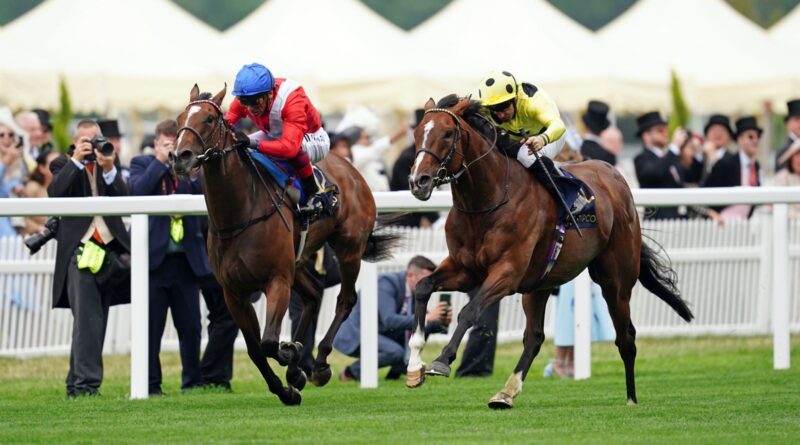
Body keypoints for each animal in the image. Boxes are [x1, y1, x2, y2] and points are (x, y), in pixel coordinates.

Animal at [170, 85, 396, 404]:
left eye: (210, 119)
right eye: (179, 119)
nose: (180, 156)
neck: (239, 214)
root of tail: (351, 169)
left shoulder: (276, 279)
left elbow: (268, 342)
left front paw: (292, 355)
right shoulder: (234, 292)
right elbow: (255, 349)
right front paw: (287, 386)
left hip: (349, 246)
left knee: (345, 299)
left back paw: (320, 363)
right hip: (298, 261)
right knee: (314, 294)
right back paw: (298, 367)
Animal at [410, 95, 692, 408]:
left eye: (448, 133)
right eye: (418, 132)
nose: (418, 181)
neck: (486, 202)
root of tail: (615, 175)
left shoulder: (507, 272)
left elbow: (469, 312)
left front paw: (441, 360)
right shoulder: (465, 270)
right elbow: (423, 287)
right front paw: (414, 365)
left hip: (615, 281)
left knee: (626, 337)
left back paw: (631, 399)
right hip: (539, 284)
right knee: (534, 337)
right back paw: (506, 393)